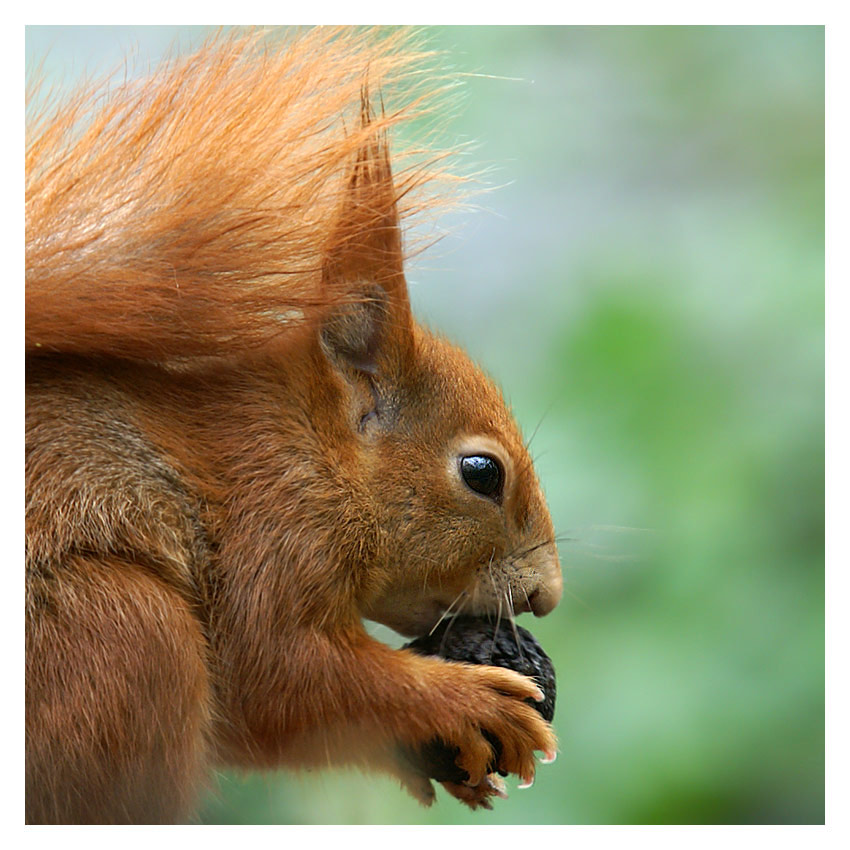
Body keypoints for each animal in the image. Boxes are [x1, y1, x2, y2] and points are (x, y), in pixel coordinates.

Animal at [24, 28, 564, 820]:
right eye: (481, 473)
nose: (545, 596)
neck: (310, 450)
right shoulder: (270, 530)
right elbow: (279, 679)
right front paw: (469, 701)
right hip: (119, 633)